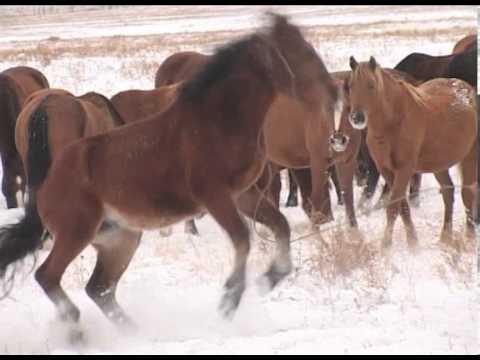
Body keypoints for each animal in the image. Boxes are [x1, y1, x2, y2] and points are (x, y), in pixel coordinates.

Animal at [344, 56, 476, 249]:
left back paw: (469, 236)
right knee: (448, 192)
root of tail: (467, 89)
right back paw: (445, 238)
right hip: (439, 164)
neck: (394, 122)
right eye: (351, 86)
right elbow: (402, 206)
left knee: (468, 194)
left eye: (371, 85)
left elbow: (393, 207)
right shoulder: (387, 170)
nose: (357, 118)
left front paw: (386, 245)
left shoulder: (404, 169)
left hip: (469, 158)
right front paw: (413, 243)